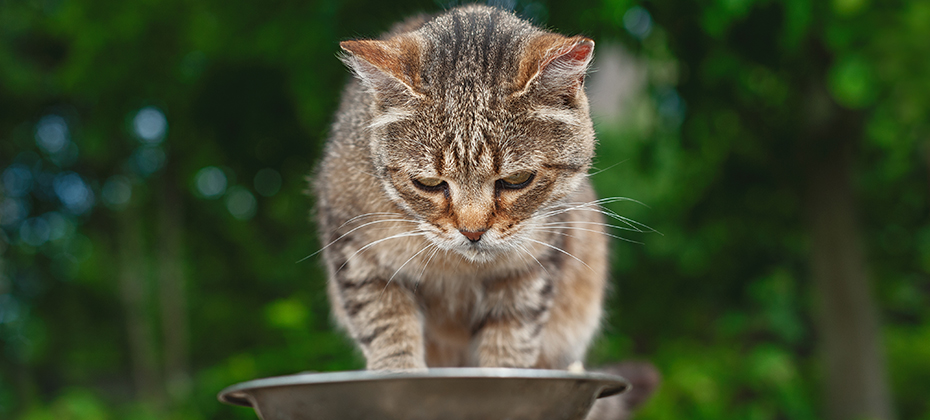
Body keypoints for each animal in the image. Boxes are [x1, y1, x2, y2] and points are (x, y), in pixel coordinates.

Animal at [312, 4, 652, 420]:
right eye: (428, 183)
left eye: (517, 180)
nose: (472, 232)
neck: (458, 269)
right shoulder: (356, 251)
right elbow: (388, 331)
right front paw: (397, 377)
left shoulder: (531, 273)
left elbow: (507, 351)